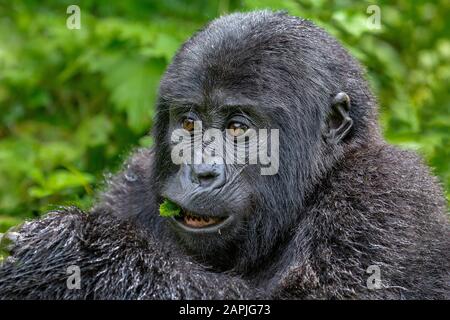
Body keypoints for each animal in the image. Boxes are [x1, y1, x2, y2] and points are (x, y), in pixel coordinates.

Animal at [0, 10, 450, 300]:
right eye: (188, 123)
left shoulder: (387, 192)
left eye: (237, 129)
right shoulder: (132, 183)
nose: (201, 171)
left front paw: (72, 252)